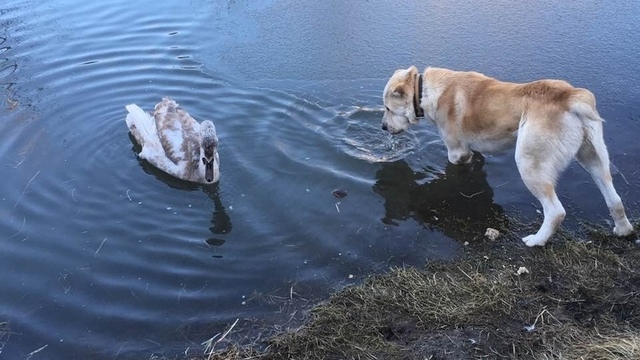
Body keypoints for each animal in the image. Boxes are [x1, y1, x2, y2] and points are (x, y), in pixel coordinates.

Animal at [382, 66, 632, 246]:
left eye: (387, 108)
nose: (383, 127)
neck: (424, 90)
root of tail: (570, 97)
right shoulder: (474, 150)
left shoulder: (457, 152)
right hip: (594, 159)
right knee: (615, 199)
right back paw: (623, 230)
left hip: (529, 164)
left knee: (556, 212)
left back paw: (537, 240)